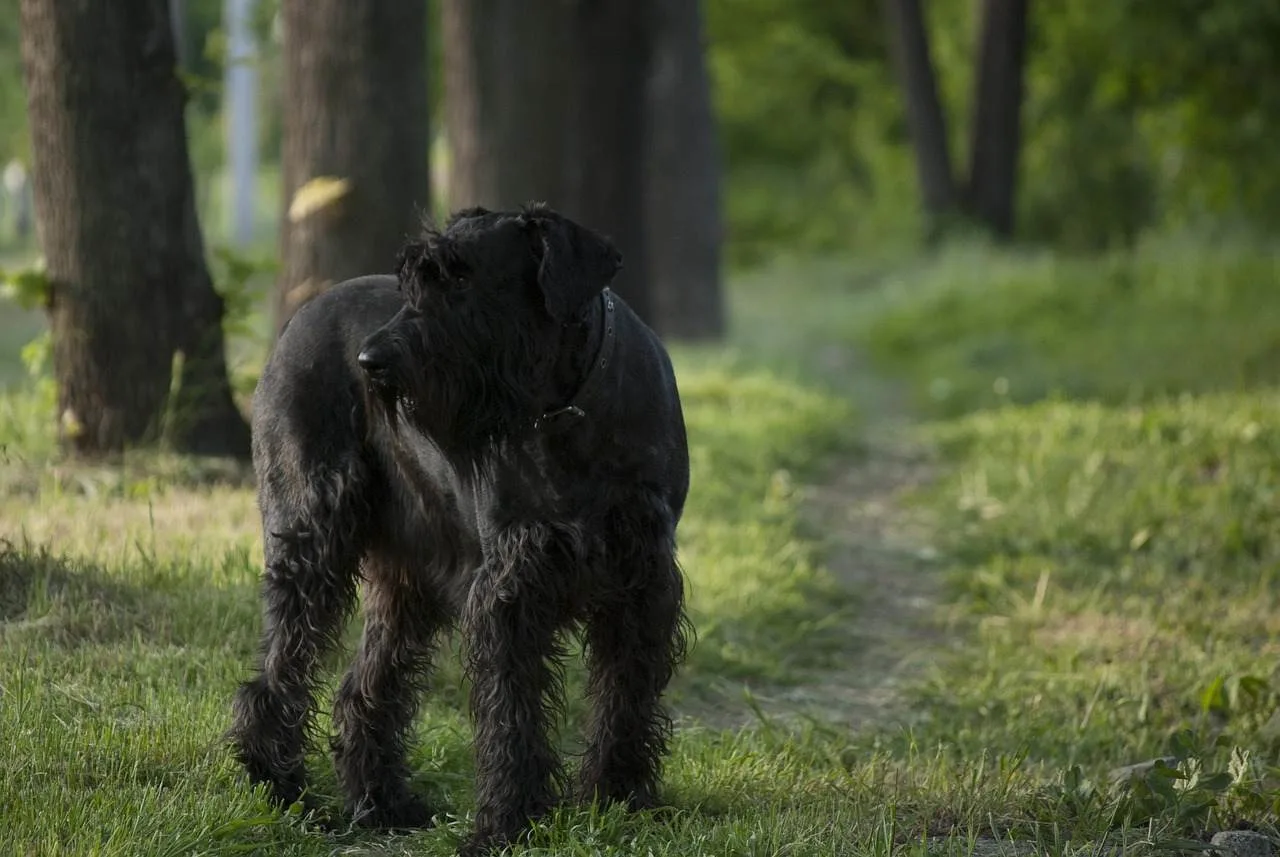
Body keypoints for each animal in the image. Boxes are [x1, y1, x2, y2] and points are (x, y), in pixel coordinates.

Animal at [226, 204, 696, 854]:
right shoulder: (511, 586)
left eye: (463, 277)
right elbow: (510, 712)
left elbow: (626, 696)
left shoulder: (641, 583)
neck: (568, 410)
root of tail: (300, 316)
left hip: (409, 581)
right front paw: (507, 822)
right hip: (311, 537)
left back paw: (382, 803)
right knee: (279, 672)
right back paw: (279, 787)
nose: (372, 363)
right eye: (413, 280)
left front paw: (618, 800)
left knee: (364, 687)